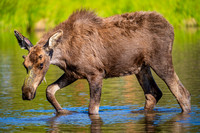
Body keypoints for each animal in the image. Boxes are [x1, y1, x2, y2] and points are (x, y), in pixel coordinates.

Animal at [14, 9, 191, 114]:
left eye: (41, 64)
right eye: (25, 65)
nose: (26, 93)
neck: (62, 55)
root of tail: (171, 26)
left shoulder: (96, 74)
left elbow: (92, 108)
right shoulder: (73, 74)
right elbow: (49, 90)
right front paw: (64, 112)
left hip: (161, 60)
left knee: (182, 93)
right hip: (141, 68)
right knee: (154, 94)